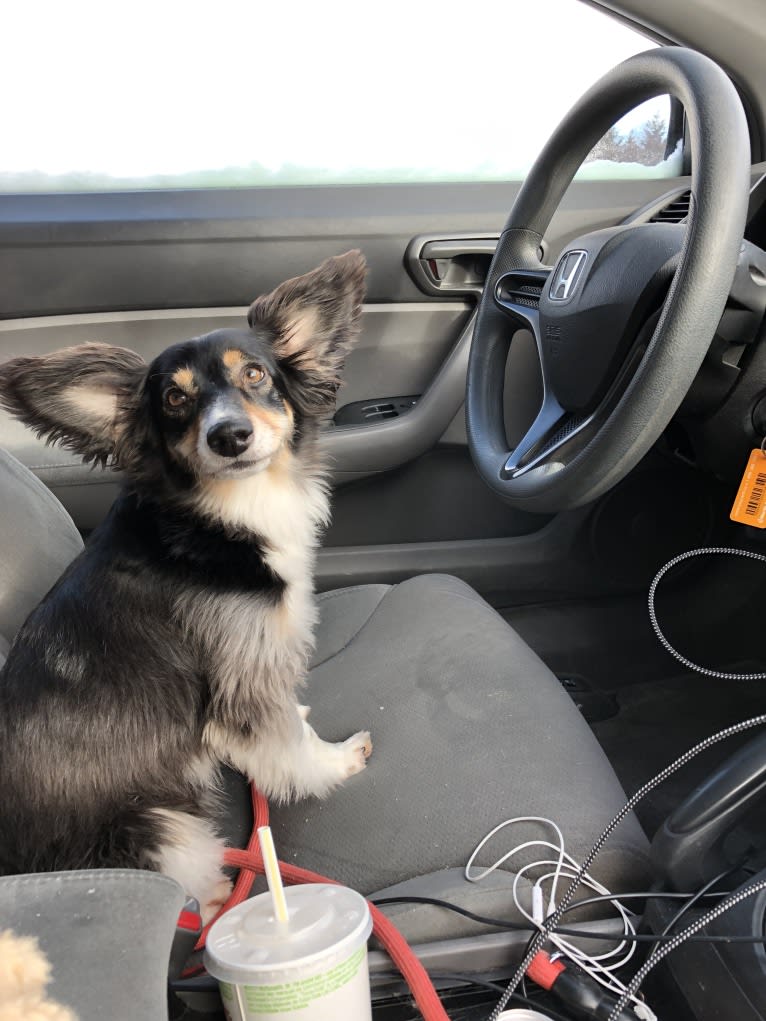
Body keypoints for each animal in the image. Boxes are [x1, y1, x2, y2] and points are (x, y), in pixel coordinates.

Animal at [0, 251, 375, 922]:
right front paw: (334, 763)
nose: (228, 436)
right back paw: (219, 898)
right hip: (156, 826)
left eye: (255, 373)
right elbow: (289, 746)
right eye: (175, 398)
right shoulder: (242, 674)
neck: (222, 513)